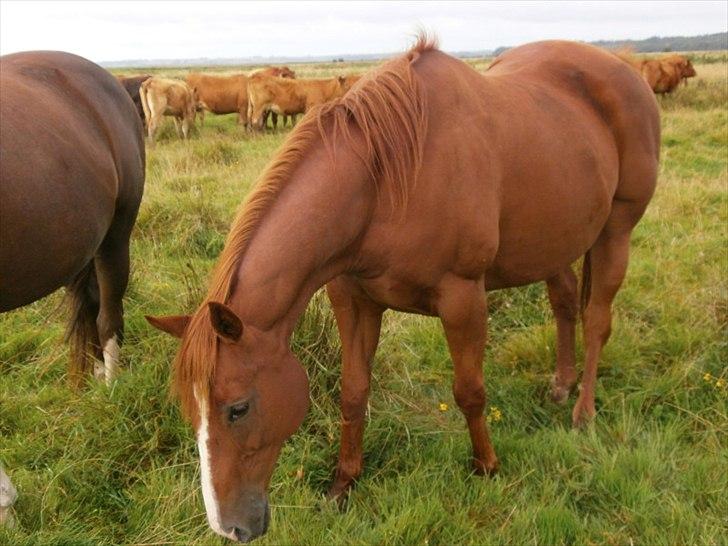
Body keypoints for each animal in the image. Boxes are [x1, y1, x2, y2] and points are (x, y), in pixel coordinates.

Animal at [148, 37, 660, 540]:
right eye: (189, 409)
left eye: (238, 408)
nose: (229, 527)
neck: (386, 182)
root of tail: (625, 70)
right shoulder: (354, 301)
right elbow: (353, 392)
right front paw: (344, 482)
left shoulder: (463, 299)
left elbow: (469, 391)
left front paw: (486, 466)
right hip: (555, 242)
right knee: (565, 302)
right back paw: (560, 385)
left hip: (615, 231)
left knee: (597, 319)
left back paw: (583, 412)